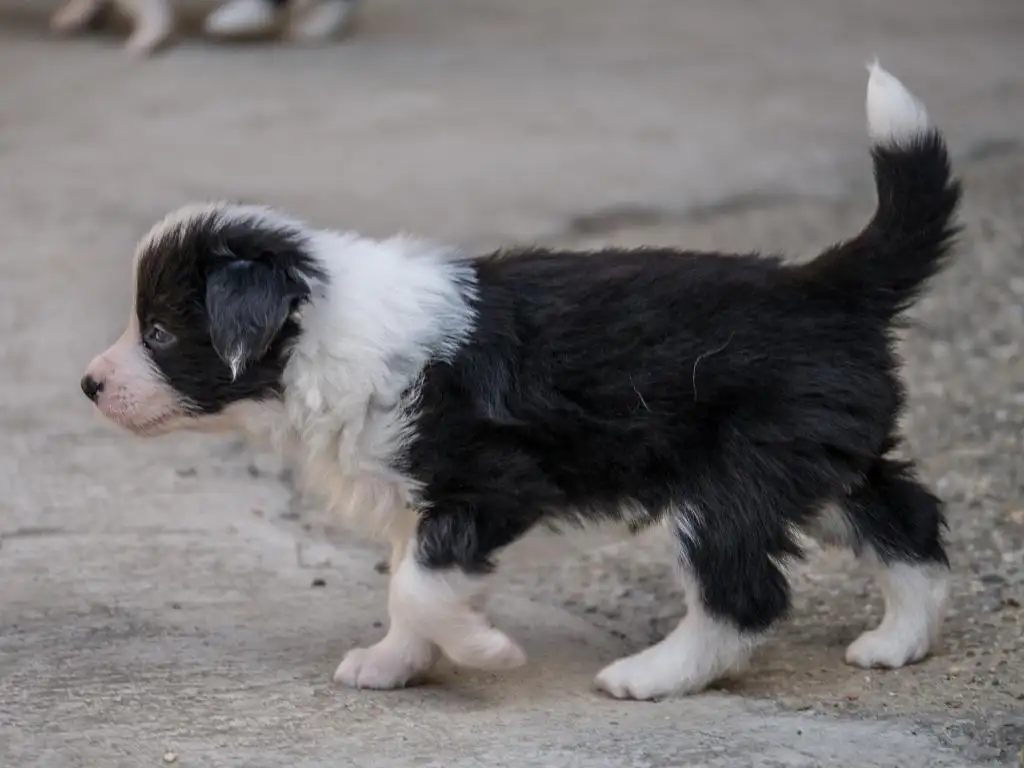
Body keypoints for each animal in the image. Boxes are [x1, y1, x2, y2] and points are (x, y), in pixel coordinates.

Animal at [79, 64, 958, 696]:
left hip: (732, 477)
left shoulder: (494, 482)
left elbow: (420, 585)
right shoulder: (418, 500)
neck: (321, 332)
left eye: (158, 333)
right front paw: (395, 663)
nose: (88, 384)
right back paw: (898, 642)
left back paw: (651, 676)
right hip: (824, 453)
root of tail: (826, 286)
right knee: (904, 521)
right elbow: (408, 582)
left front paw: (486, 652)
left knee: (743, 591)